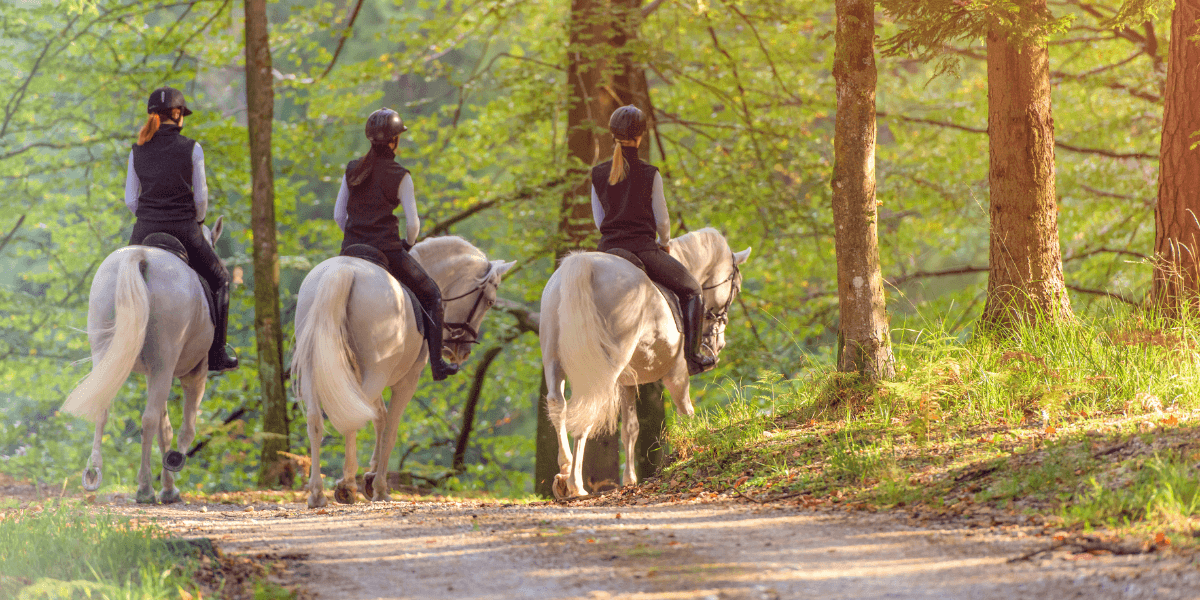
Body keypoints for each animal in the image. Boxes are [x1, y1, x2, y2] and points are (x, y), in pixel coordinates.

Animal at [61, 218, 226, 504]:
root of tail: (141, 255)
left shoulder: (152, 374)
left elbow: (165, 429)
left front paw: (169, 486)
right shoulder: (194, 372)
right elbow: (184, 428)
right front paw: (172, 473)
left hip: (107, 356)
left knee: (104, 408)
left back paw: (94, 474)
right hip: (165, 364)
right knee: (148, 420)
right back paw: (145, 488)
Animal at [295, 236, 516, 508]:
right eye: (489, 302)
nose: (461, 352)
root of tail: (344, 271)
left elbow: (379, 418)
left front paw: (370, 476)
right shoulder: (407, 381)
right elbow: (390, 428)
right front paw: (378, 486)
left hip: (316, 369)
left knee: (317, 419)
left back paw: (317, 493)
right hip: (375, 372)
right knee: (352, 419)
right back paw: (346, 485)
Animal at [542, 226, 748, 499]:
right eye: (736, 288)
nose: (718, 345)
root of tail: (583, 265)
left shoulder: (627, 382)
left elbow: (631, 429)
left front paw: (630, 480)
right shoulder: (677, 373)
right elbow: (686, 413)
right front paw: (690, 450)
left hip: (554, 360)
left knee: (559, 404)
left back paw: (564, 472)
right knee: (587, 410)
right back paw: (576, 484)